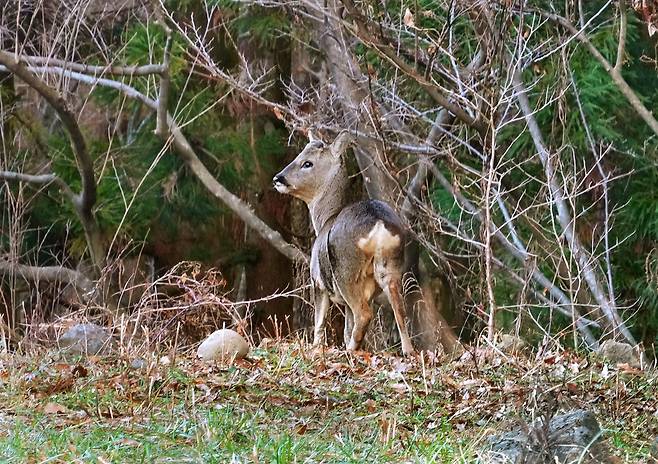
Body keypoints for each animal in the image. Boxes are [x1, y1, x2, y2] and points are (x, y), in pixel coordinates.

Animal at [270, 131, 412, 356]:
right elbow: (346, 327)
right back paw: (408, 352)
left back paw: (351, 351)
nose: (278, 178)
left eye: (307, 163)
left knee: (364, 314)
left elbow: (319, 324)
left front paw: (316, 350)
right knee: (400, 310)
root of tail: (379, 224)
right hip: (390, 265)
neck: (324, 219)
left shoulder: (317, 281)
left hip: (346, 270)